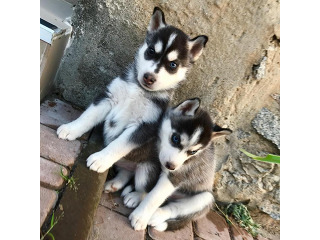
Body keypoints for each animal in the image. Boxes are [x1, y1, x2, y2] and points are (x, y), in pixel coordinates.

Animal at [56, 7, 209, 177]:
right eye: (151, 51)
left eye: (173, 65)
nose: (149, 77)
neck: (139, 90)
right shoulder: (109, 97)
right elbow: (88, 116)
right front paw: (71, 128)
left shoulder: (143, 126)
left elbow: (119, 145)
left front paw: (101, 159)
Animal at [121, 98, 231, 232]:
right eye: (175, 138)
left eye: (193, 152)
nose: (171, 166)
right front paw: (137, 194)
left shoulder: (175, 177)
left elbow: (154, 197)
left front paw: (140, 217)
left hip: (205, 198)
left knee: (175, 208)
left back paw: (156, 215)